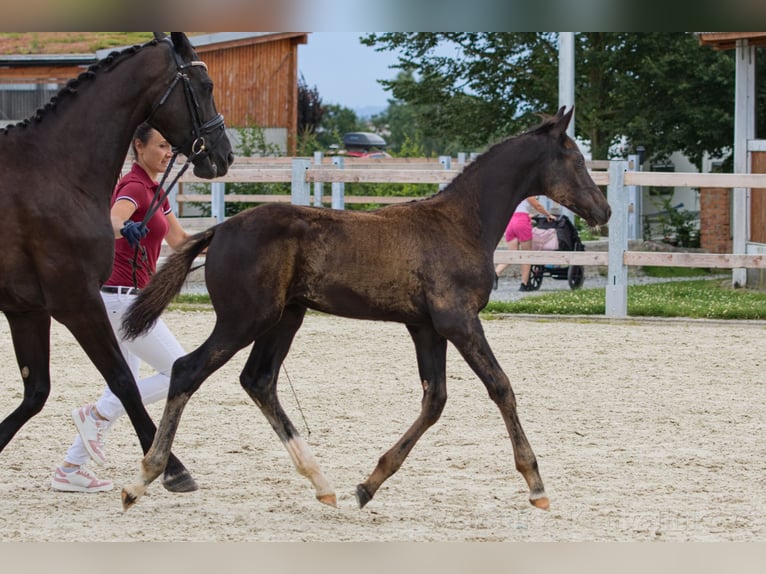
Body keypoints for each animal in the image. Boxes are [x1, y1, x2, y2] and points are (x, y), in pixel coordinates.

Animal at [0, 31, 234, 492]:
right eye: (205, 86)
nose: (224, 155)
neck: (55, 171)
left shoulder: (26, 309)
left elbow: (36, 392)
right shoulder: (77, 301)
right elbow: (123, 380)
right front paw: (172, 469)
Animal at [120, 106, 612, 510]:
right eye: (577, 161)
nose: (604, 210)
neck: (461, 223)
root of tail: (218, 231)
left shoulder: (427, 328)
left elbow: (435, 400)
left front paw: (368, 484)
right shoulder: (459, 321)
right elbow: (501, 387)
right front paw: (536, 483)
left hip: (285, 318)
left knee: (258, 380)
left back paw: (322, 482)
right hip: (244, 319)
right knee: (187, 370)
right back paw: (142, 480)